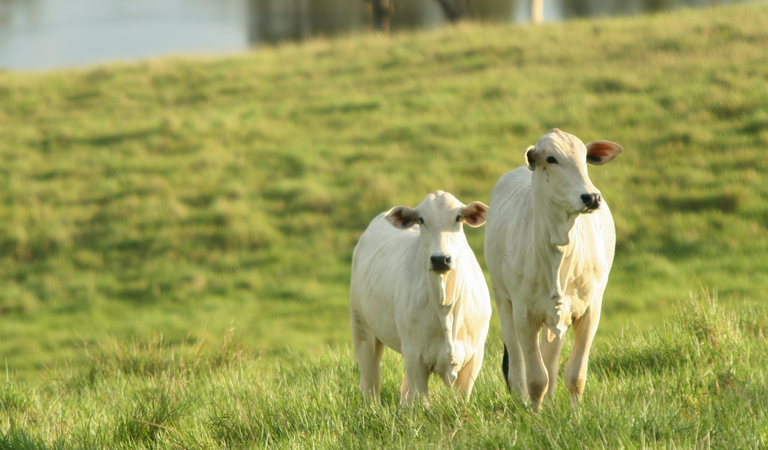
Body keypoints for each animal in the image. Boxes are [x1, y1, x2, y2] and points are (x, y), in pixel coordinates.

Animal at [350, 190, 492, 404]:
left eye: (458, 217)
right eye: (421, 219)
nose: (440, 259)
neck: (445, 306)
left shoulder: (475, 356)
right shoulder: (414, 355)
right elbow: (422, 400)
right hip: (362, 329)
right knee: (370, 383)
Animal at [486, 129, 624, 412]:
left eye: (584, 156)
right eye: (551, 158)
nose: (591, 197)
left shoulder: (590, 310)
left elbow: (575, 373)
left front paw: (575, 412)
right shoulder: (524, 314)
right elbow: (535, 377)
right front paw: (535, 414)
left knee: (550, 360)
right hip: (503, 301)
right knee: (518, 365)